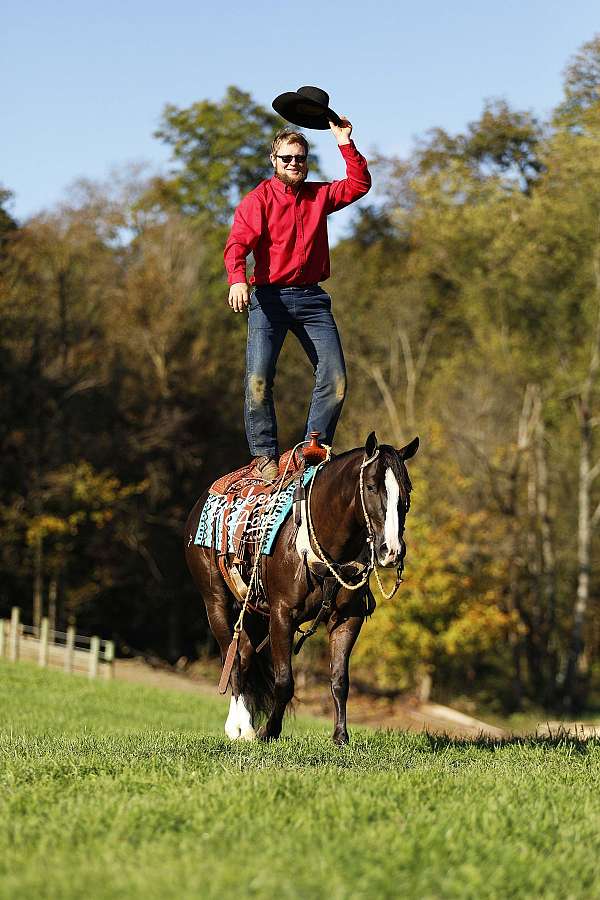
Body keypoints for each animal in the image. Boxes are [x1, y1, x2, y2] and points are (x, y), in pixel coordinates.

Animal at [184, 431, 418, 744]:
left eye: (407, 489)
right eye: (371, 486)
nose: (391, 550)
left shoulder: (348, 619)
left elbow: (340, 680)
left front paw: (340, 736)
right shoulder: (282, 615)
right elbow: (284, 681)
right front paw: (269, 731)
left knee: (245, 653)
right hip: (216, 602)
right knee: (233, 658)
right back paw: (240, 726)